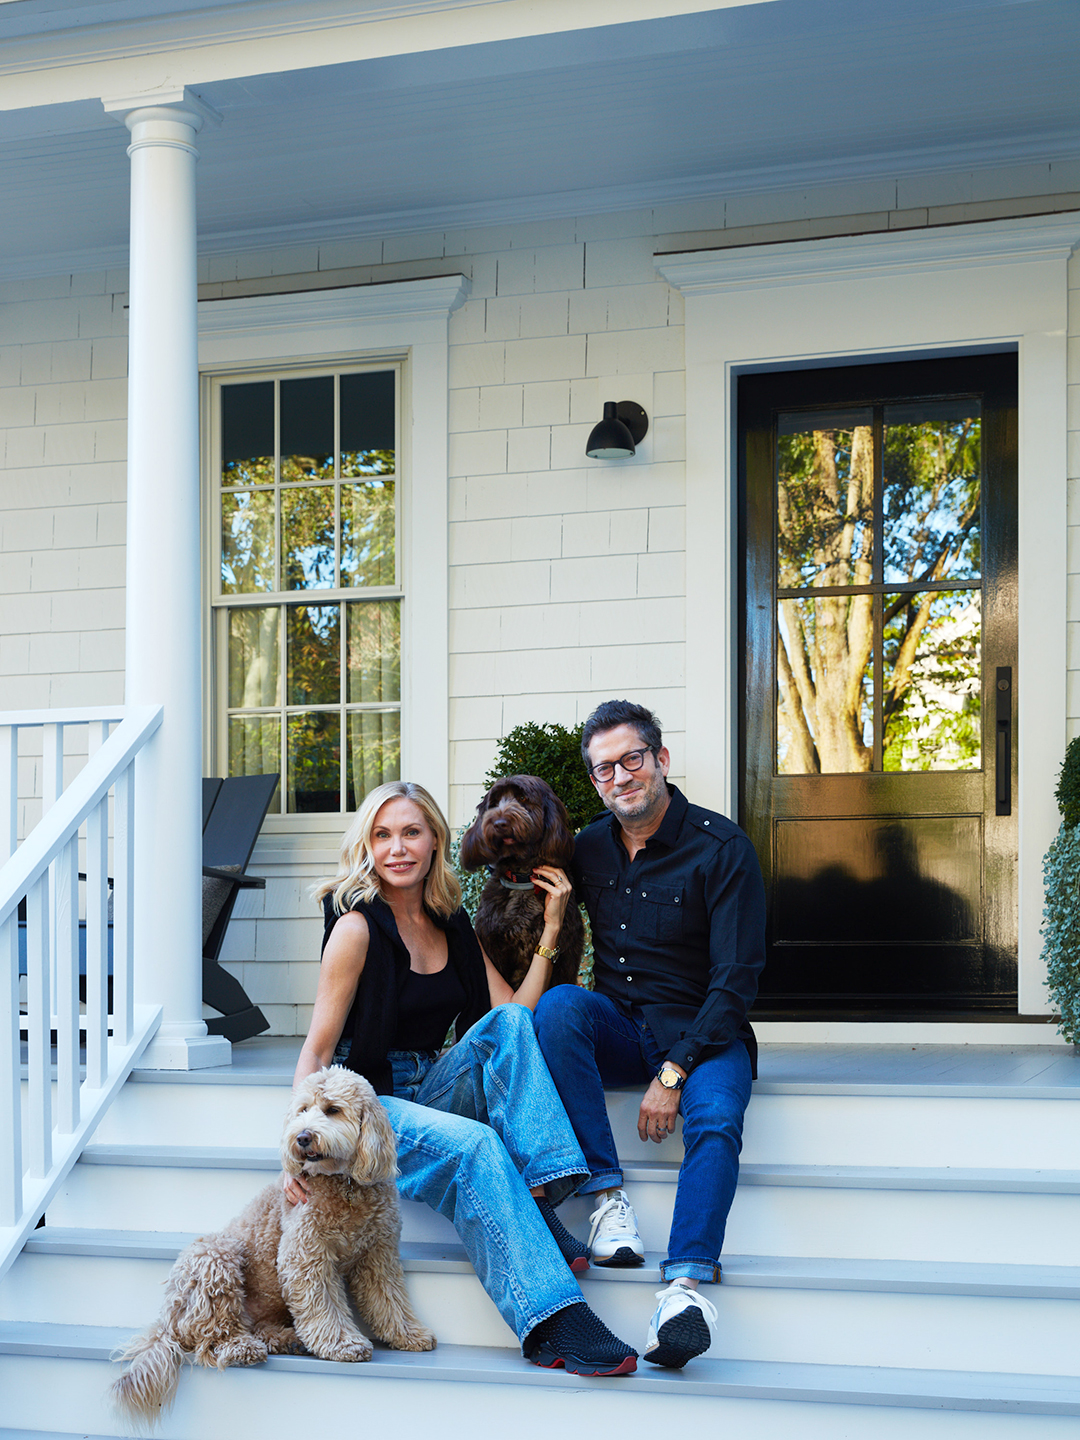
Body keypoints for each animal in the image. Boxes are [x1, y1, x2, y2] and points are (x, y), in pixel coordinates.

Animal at [108, 1065, 434, 1422]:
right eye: (303, 1110)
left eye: (333, 1110)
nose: (302, 1137)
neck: (343, 1182)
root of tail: (167, 1321)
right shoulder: (306, 1254)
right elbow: (324, 1305)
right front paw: (342, 1344)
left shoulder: (378, 1255)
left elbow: (390, 1301)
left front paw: (409, 1334)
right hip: (214, 1256)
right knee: (213, 1334)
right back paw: (241, 1348)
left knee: (260, 1328)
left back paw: (290, 1341)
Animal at [460, 777, 587, 990]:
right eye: (494, 803)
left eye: (522, 798)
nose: (499, 823)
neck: (522, 878)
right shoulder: (492, 946)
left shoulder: (567, 955)